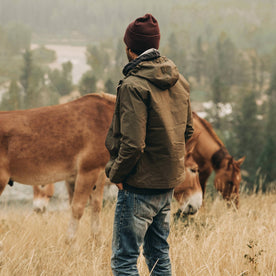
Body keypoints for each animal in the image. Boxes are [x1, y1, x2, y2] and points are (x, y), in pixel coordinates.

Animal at [0, 93, 115, 242]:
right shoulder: (87, 171)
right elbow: (77, 208)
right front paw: (70, 242)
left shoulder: (98, 174)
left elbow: (96, 207)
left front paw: (98, 241)